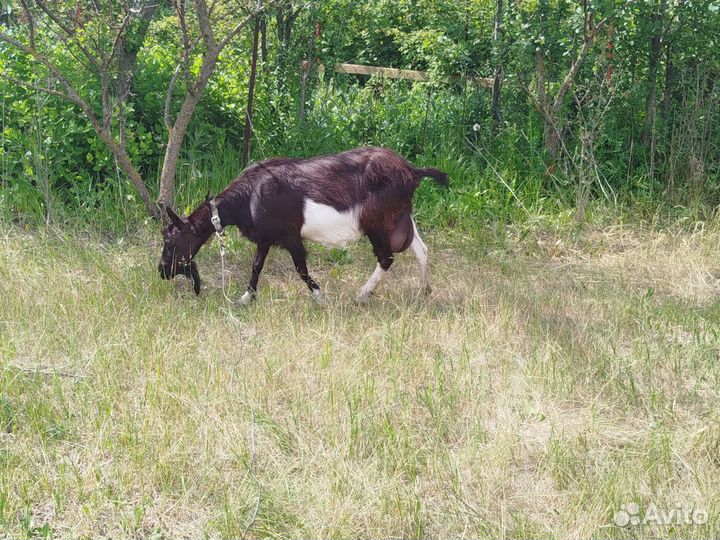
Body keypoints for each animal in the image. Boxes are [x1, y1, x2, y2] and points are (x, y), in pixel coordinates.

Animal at [158, 146, 447, 302]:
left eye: (169, 240)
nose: (161, 270)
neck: (250, 196)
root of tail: (412, 171)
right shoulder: (266, 238)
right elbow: (256, 266)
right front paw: (245, 298)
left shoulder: (290, 236)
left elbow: (300, 268)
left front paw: (320, 297)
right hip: (401, 218)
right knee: (421, 250)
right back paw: (424, 290)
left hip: (377, 223)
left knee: (386, 257)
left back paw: (362, 294)